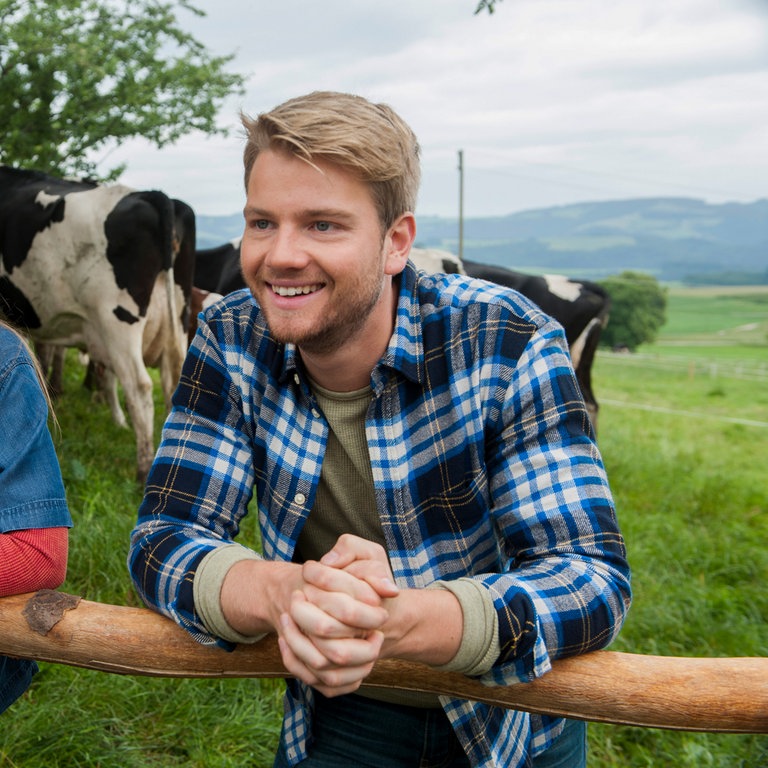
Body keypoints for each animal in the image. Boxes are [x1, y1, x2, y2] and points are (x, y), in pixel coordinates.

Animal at [0, 166, 192, 480]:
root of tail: (152, 195)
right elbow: (47, 353)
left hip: (117, 321)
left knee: (139, 388)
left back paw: (142, 468)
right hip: (176, 322)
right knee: (171, 382)